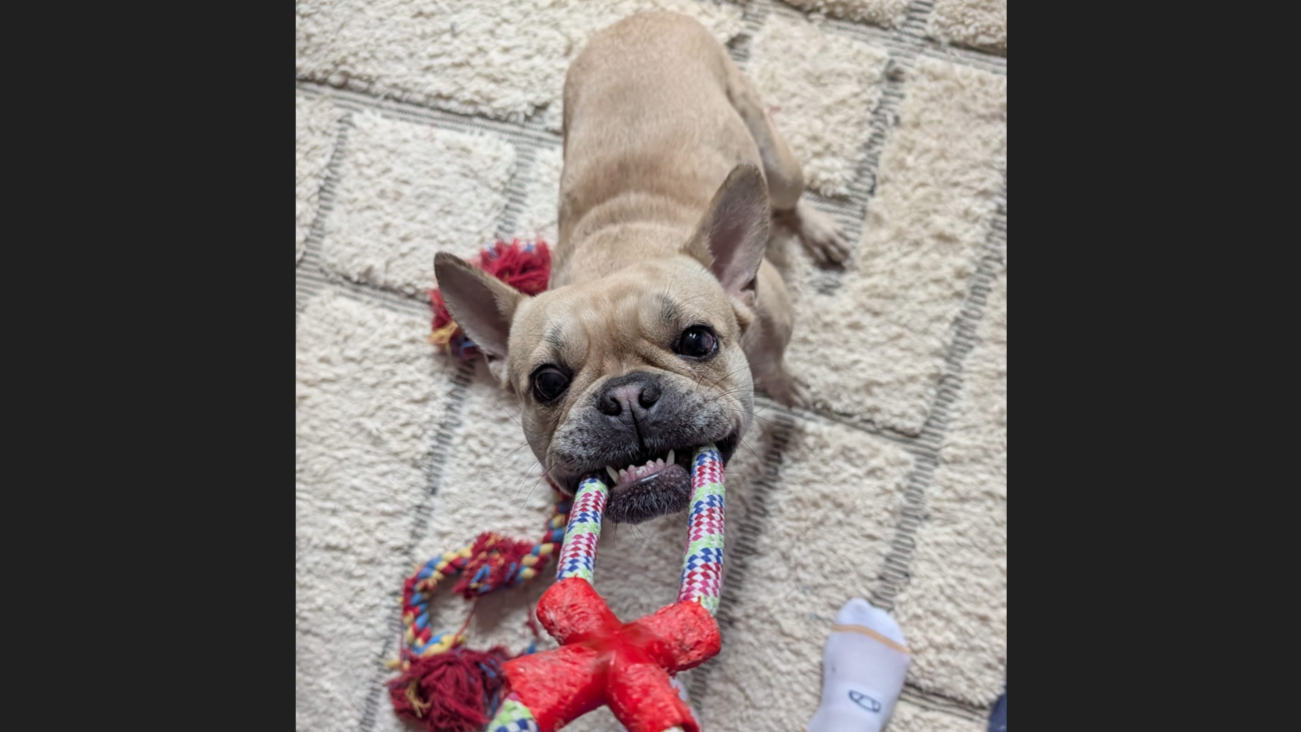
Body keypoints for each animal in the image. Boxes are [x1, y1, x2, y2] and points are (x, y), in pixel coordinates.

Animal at [435, 11, 849, 523]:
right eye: (547, 382)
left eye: (698, 341)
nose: (626, 395)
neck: (619, 254)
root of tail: (640, 16)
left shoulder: (773, 321)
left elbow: (773, 363)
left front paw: (790, 388)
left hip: (773, 155)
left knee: (789, 196)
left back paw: (821, 231)